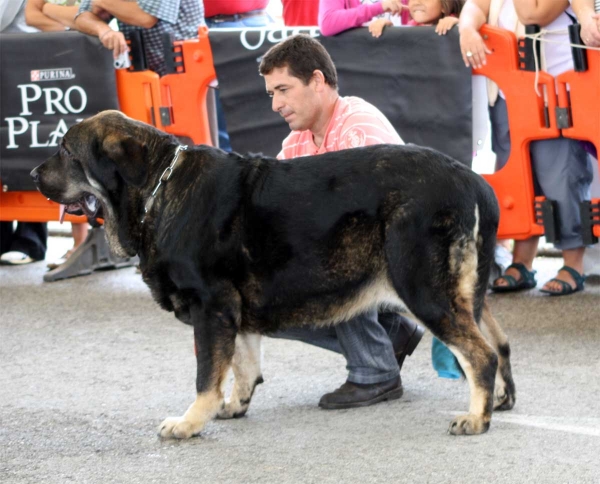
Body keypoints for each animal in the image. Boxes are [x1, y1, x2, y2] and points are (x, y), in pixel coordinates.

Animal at [31, 111, 516, 440]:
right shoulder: (233, 311)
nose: (33, 173)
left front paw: (190, 421)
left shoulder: (211, 306)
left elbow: (206, 374)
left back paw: (476, 418)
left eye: (67, 152)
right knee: (498, 342)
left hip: (422, 288)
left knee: (479, 354)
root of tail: (475, 182)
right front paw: (233, 405)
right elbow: (242, 365)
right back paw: (501, 400)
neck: (156, 188)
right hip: (464, 292)